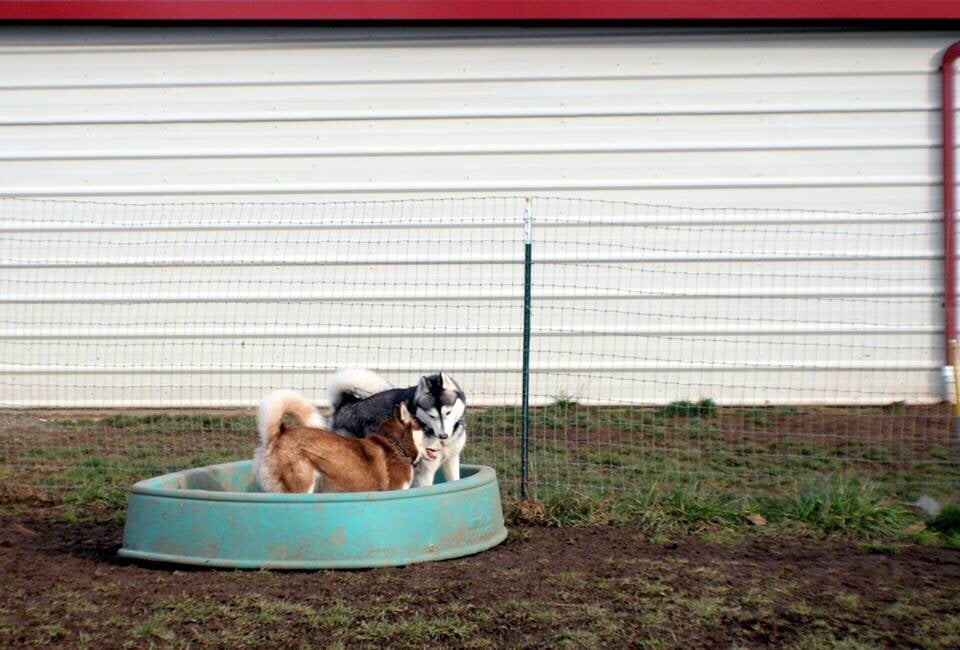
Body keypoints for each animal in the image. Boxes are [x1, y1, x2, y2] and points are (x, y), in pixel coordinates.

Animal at [328, 368, 467, 487]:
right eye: (431, 416)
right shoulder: (425, 471)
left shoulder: (452, 460)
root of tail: (347, 404)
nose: (443, 436)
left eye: (448, 412)